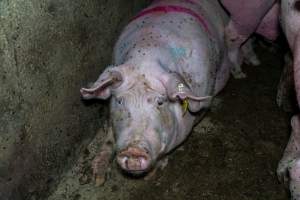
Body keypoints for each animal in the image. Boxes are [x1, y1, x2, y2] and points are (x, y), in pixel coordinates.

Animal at [79, 0, 230, 184]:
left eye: (160, 102)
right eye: (120, 101)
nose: (134, 150)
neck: (146, 54)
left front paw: (152, 175)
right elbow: (109, 137)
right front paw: (98, 179)